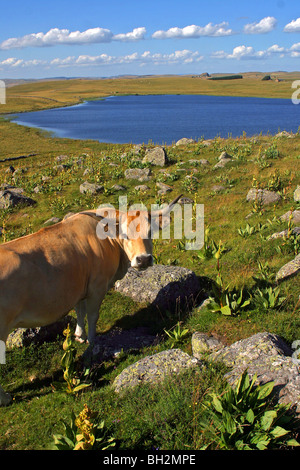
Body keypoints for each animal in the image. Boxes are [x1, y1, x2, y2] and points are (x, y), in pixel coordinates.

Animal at [0, 194, 182, 404]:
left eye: (151, 232)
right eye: (125, 235)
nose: (143, 259)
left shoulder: (80, 286)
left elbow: (80, 311)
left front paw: (80, 335)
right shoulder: (97, 287)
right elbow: (92, 316)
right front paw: (93, 343)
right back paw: (4, 397)